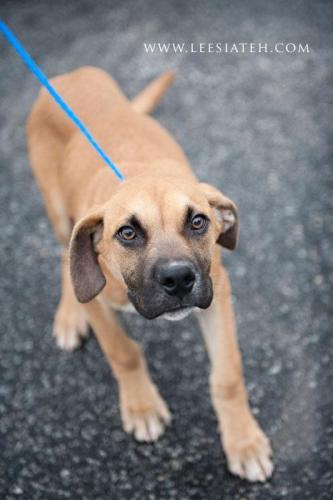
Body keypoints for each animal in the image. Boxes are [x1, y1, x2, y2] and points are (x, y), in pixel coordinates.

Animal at [27, 66, 272, 480]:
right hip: (58, 213)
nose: (178, 279)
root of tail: (71, 74)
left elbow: (227, 375)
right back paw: (69, 314)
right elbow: (123, 352)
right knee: (67, 260)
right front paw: (141, 407)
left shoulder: (217, 295)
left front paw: (243, 442)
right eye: (127, 233)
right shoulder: (100, 304)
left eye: (198, 222)